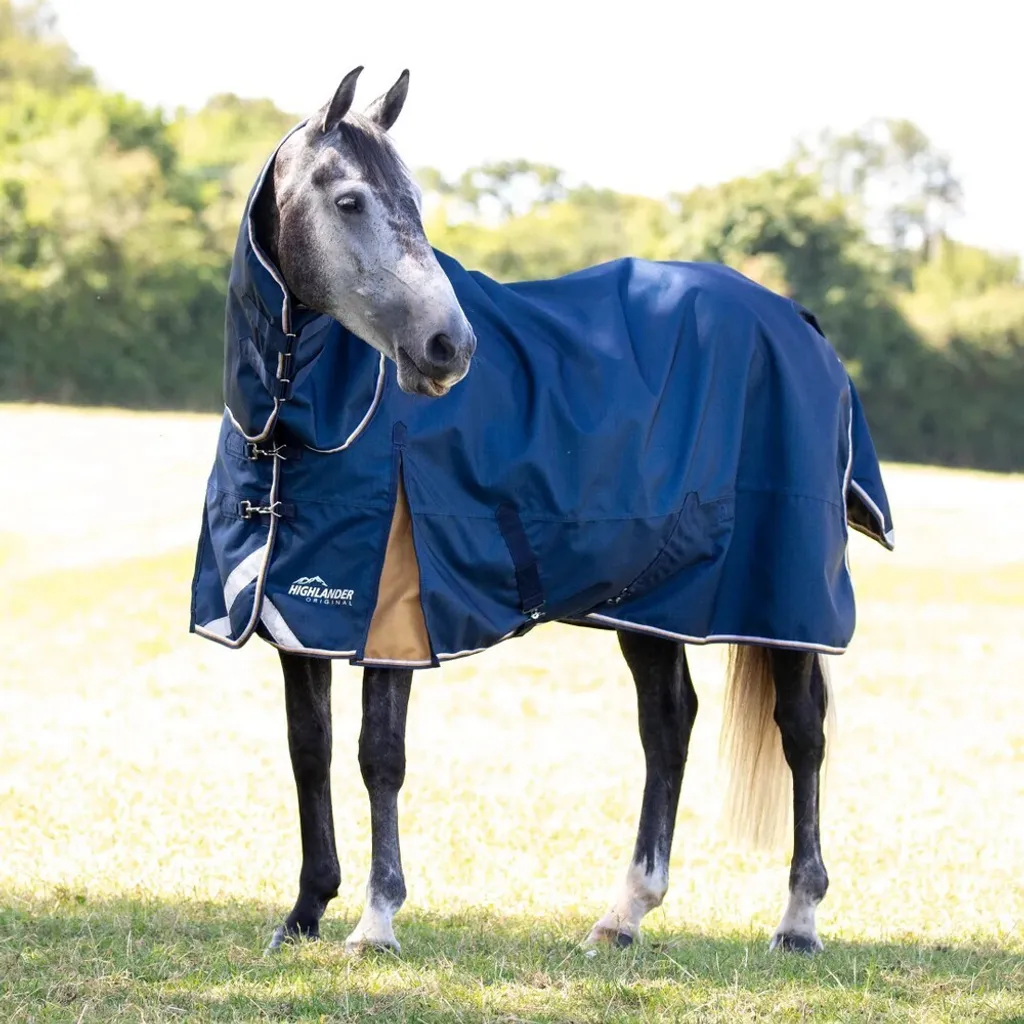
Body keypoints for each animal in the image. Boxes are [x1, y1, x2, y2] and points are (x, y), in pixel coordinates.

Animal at [191, 66, 893, 956]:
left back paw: (798, 919)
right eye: (349, 201)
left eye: (416, 200)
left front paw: (377, 921)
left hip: (784, 600)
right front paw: (306, 912)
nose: (449, 347)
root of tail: (800, 324)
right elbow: (307, 750)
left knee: (801, 733)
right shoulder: (299, 608)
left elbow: (379, 755)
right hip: (655, 599)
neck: (302, 418)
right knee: (669, 725)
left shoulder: (392, 614)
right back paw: (623, 916)